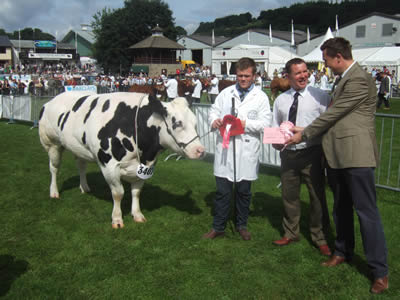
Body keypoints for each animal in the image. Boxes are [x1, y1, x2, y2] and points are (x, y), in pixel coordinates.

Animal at [39, 91, 205, 227]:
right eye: (177, 123)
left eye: (195, 123)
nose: (200, 151)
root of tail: (51, 100)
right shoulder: (109, 165)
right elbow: (118, 193)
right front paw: (117, 219)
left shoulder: (144, 168)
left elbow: (136, 192)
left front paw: (137, 214)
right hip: (51, 143)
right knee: (54, 168)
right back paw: (54, 192)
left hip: (79, 148)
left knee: (81, 165)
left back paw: (84, 187)